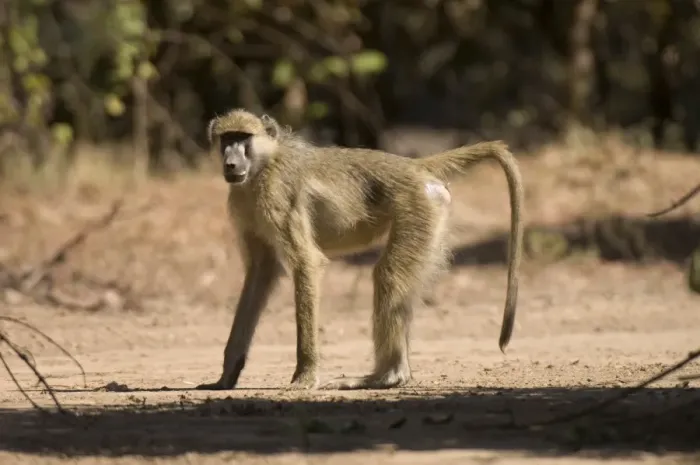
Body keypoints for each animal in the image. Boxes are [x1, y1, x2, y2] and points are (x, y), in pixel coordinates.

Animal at [196, 108, 524, 391]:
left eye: (243, 138)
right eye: (226, 139)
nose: (231, 164)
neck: (263, 166)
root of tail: (415, 166)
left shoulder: (275, 196)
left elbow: (306, 263)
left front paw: (305, 376)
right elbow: (259, 275)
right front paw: (225, 377)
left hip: (418, 207)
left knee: (389, 275)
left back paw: (386, 375)